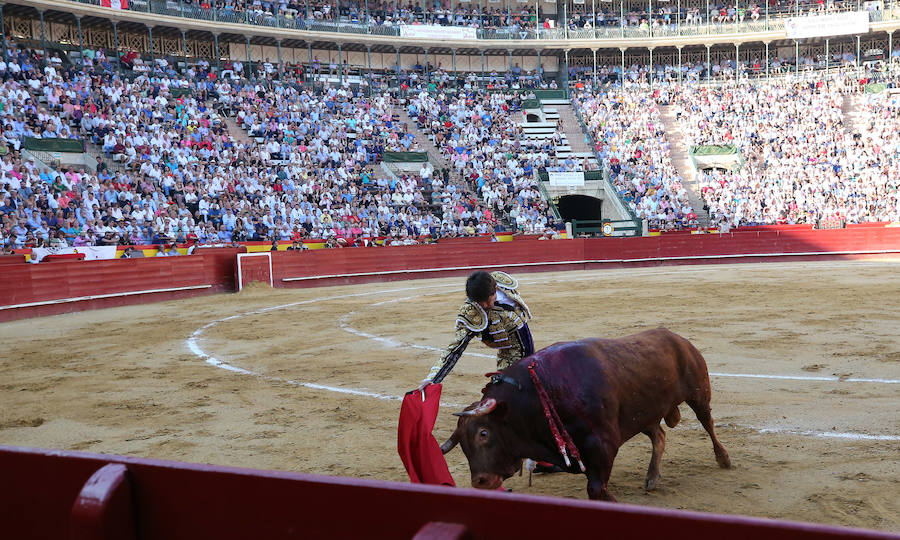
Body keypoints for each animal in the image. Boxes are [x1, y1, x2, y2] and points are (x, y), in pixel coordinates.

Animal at [442, 330, 732, 502]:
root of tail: (676, 337)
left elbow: (596, 489)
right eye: (462, 443)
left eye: (483, 433)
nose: (480, 482)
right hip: (642, 414)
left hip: (698, 392)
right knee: (659, 435)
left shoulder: (602, 446)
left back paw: (724, 459)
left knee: (708, 423)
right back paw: (652, 478)